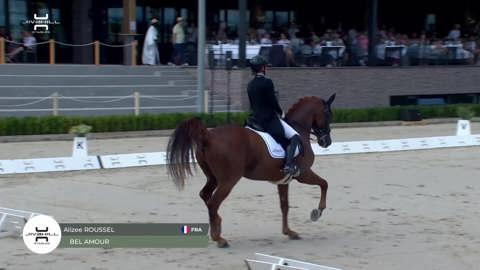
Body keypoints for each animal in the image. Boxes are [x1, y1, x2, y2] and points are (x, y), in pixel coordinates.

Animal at [167, 94, 336, 247]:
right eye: (328, 114)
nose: (326, 142)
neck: (298, 128)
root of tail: (208, 135)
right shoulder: (303, 174)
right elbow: (325, 184)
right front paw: (317, 212)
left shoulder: (283, 181)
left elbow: (285, 205)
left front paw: (289, 232)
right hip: (228, 180)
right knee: (213, 202)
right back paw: (219, 239)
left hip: (213, 178)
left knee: (205, 196)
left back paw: (218, 226)